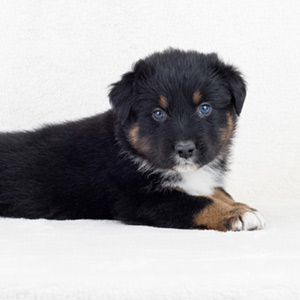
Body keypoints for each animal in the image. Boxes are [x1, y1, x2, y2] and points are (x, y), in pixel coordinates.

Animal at [0, 49, 264, 232]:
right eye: (158, 113)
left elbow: (218, 191)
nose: (185, 150)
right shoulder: (139, 201)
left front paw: (241, 206)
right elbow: (197, 203)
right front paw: (237, 215)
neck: (128, 147)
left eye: (205, 108)